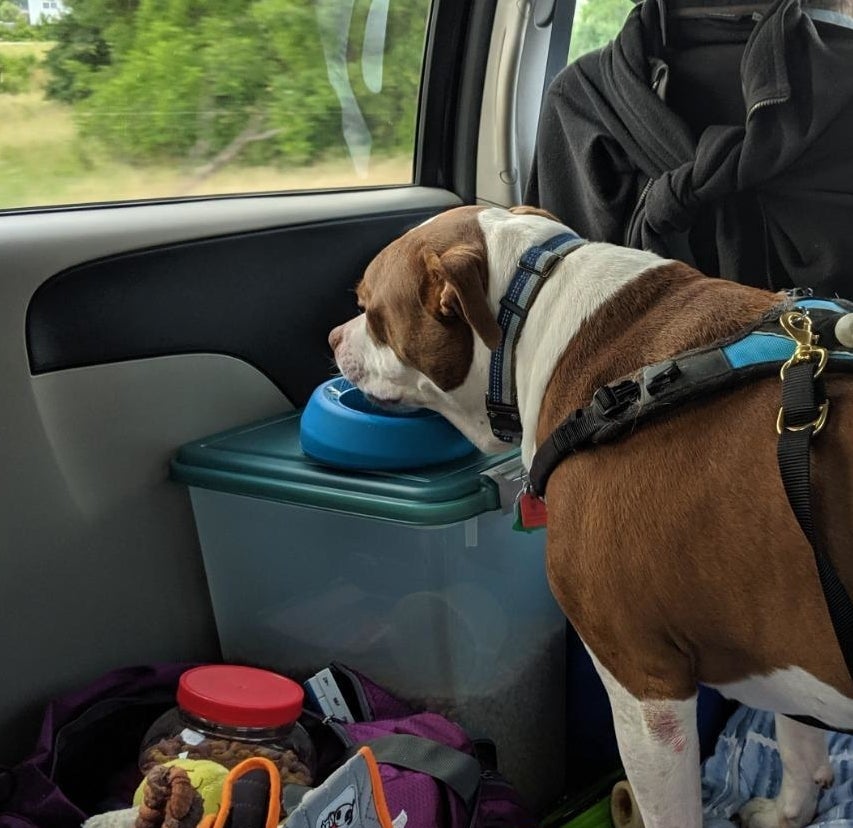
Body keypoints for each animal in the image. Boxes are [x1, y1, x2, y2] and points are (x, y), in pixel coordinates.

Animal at [328, 205, 852, 828]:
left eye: (370, 309)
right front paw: (788, 811)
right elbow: (798, 735)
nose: (333, 336)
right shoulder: (781, 647)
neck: (529, 312)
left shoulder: (645, 689)